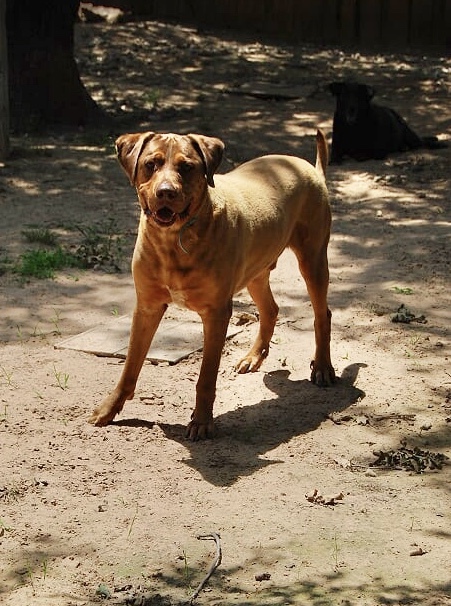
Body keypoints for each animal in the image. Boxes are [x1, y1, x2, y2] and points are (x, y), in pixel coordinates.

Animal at [89, 131, 336, 440]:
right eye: (150, 164)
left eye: (187, 167)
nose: (166, 192)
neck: (173, 242)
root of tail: (310, 168)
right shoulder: (146, 307)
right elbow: (130, 366)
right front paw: (109, 409)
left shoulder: (216, 313)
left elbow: (206, 377)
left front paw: (202, 421)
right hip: (256, 271)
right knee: (271, 309)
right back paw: (253, 357)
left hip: (312, 259)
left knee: (322, 314)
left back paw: (323, 367)